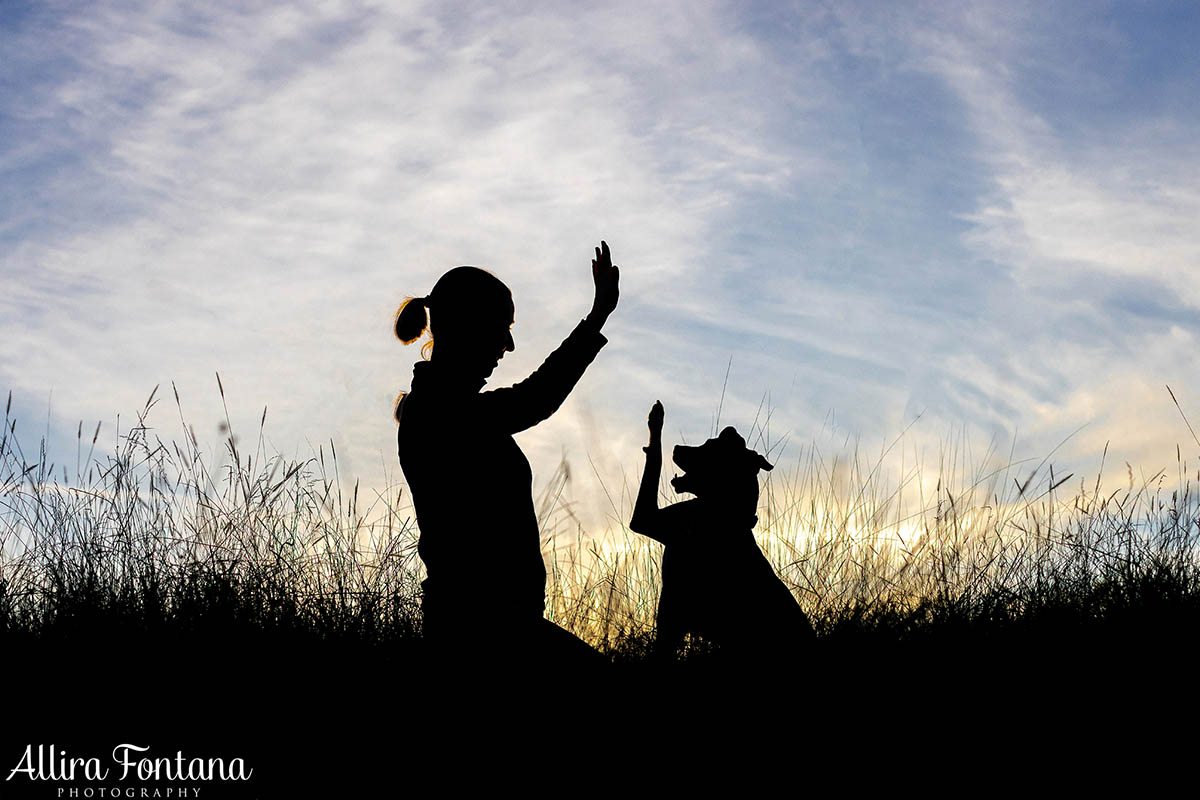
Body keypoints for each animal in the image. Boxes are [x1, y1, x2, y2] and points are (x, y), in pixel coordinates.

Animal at [628, 424, 816, 662]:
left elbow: (654, 460)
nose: (677, 447)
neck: (720, 514)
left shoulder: (645, 520)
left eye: (709, 447)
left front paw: (655, 425)